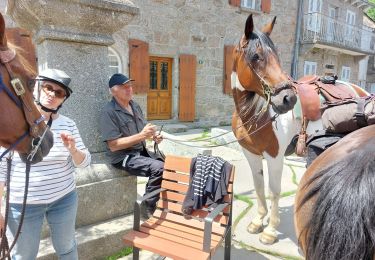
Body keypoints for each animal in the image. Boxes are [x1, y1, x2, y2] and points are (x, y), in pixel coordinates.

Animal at [231, 14, 368, 246]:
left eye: (276, 56)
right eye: (256, 56)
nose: (288, 99)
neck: (256, 115)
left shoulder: (274, 157)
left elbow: (274, 191)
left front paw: (270, 231)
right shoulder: (251, 154)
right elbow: (258, 187)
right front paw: (258, 222)